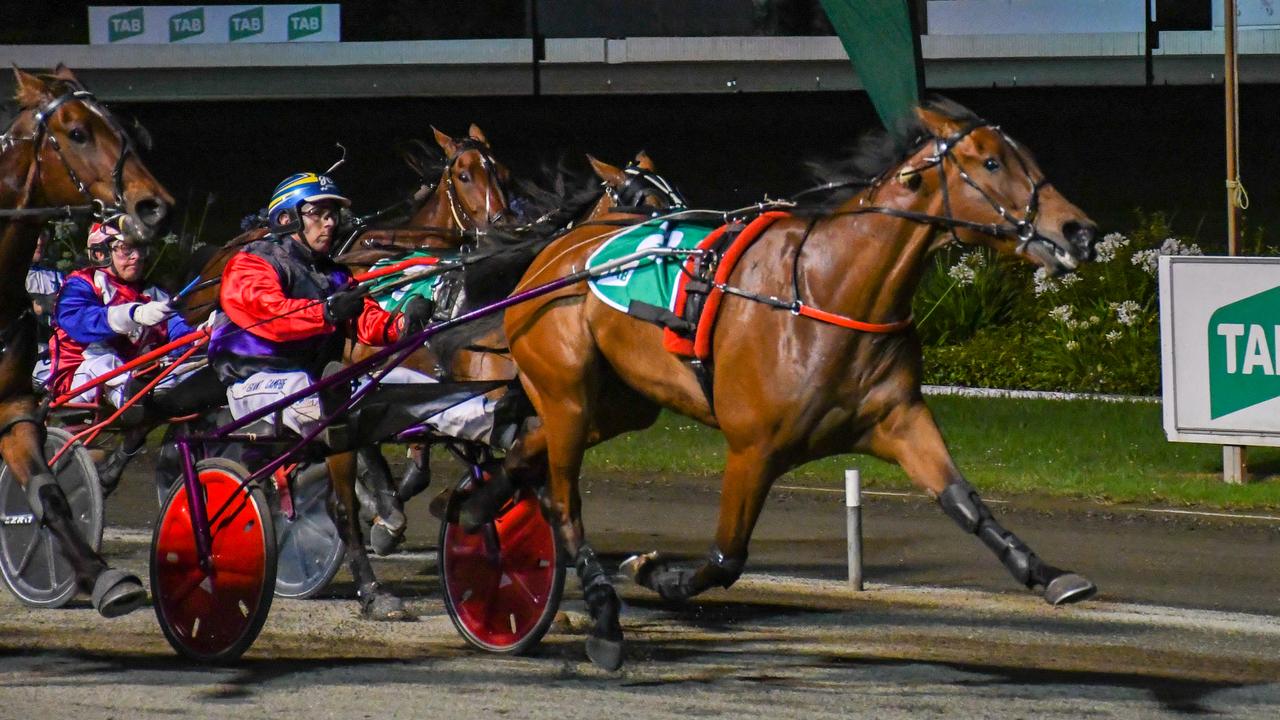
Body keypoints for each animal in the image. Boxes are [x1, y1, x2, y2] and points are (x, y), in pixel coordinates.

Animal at [0, 67, 172, 614]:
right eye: (77, 132)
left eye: (126, 128)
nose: (155, 207)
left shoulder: (13, 406)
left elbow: (48, 493)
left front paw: (100, 576)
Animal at [499, 101, 1100, 666]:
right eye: (992, 162)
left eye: (1028, 157)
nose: (1081, 231)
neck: (825, 290)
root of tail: (554, 256)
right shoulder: (753, 448)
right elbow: (727, 557)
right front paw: (654, 571)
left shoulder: (900, 420)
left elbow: (963, 499)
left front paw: (1046, 573)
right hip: (567, 395)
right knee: (565, 502)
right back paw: (601, 618)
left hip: (619, 406)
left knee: (526, 453)